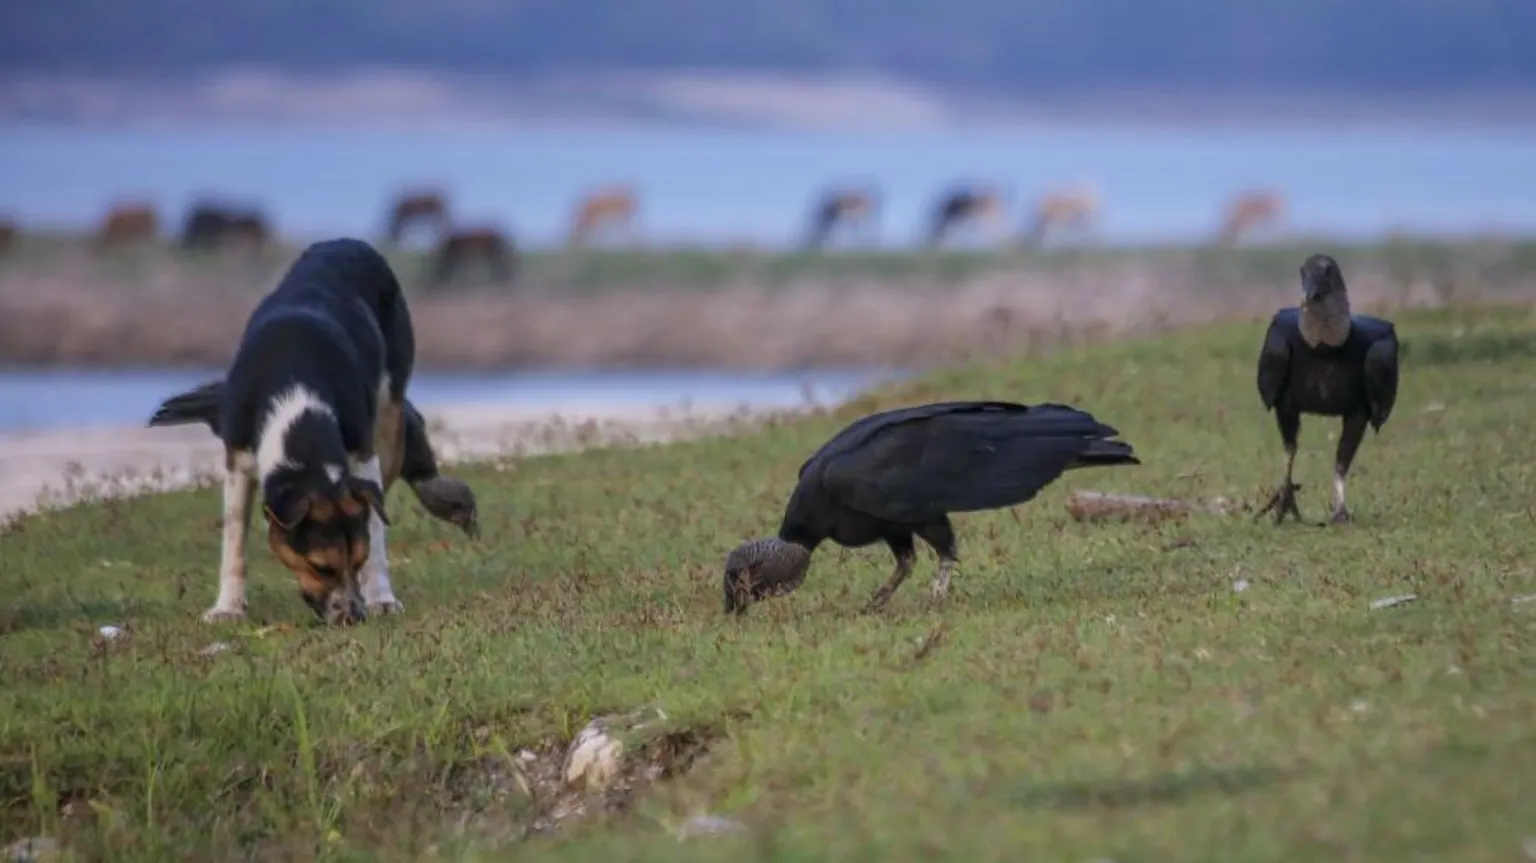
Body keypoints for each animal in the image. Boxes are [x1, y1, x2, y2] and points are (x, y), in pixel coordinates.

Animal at [147, 238, 414, 620]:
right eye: (320, 567)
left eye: (357, 561)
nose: (352, 617)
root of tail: (348, 242)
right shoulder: (238, 457)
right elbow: (234, 537)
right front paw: (227, 607)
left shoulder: (362, 453)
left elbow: (375, 528)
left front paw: (380, 596)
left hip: (389, 412)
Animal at [718, 399, 1142, 611]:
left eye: (738, 577)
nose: (731, 608)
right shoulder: (893, 525)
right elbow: (905, 563)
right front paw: (875, 603)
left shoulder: (916, 511)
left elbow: (946, 552)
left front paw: (934, 601)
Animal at [1253, 251, 1400, 525]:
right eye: (1303, 272)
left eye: (1329, 270)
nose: (1309, 294)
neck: (1323, 348)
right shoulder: (1284, 403)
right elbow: (1290, 451)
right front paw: (1284, 501)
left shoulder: (1360, 411)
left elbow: (1342, 462)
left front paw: (1340, 512)